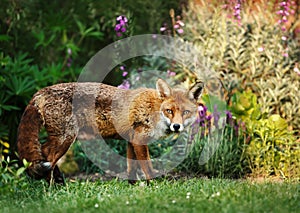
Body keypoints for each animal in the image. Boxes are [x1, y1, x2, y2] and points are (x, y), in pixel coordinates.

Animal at [17, 79, 204, 184]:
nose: (176, 126)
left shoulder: (131, 140)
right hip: (65, 138)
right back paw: (52, 188)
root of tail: (40, 92)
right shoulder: (139, 140)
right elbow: (148, 169)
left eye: (185, 112)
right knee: (47, 154)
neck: (154, 110)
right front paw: (155, 187)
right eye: (169, 111)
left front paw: (132, 188)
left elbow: (131, 168)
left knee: (45, 154)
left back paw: (59, 184)